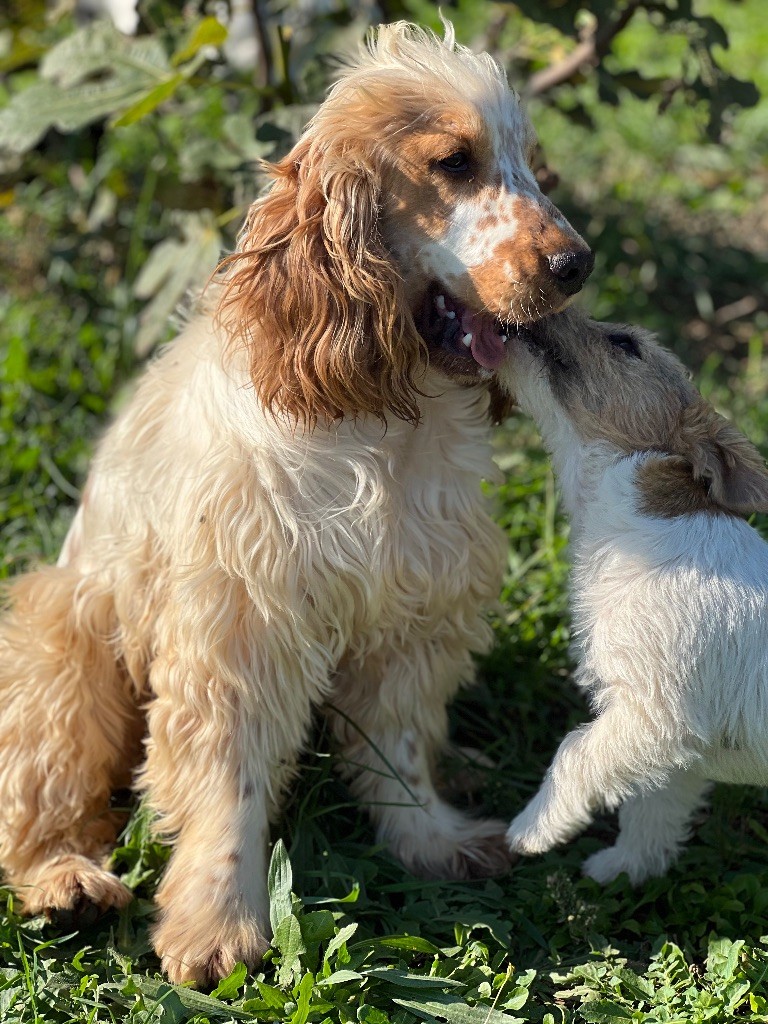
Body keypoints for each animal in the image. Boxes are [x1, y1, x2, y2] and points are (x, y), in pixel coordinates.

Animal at [501, 307, 768, 884]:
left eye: (625, 343)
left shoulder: (654, 714)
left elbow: (572, 752)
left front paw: (532, 829)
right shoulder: (674, 747)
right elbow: (653, 807)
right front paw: (624, 868)